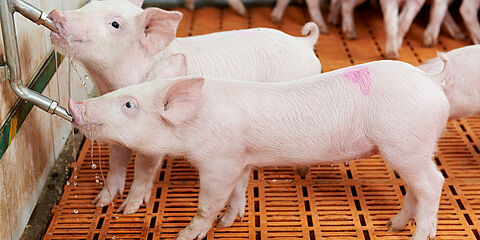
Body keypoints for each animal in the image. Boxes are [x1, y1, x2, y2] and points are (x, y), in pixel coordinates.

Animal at [47, 0, 322, 215]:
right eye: (88, 5)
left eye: (115, 24)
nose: (56, 14)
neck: (109, 81)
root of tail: (304, 43)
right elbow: (117, 160)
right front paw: (100, 203)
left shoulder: (154, 134)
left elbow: (144, 169)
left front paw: (128, 209)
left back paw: (302, 171)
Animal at [70, 53, 450, 240]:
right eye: (123, 94)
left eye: (129, 104)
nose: (76, 104)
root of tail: (431, 81)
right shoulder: (240, 159)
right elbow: (239, 190)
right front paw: (229, 222)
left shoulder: (218, 161)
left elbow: (208, 202)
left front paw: (184, 235)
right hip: (407, 148)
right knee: (416, 189)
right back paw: (392, 226)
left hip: (406, 143)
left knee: (434, 184)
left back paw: (419, 235)